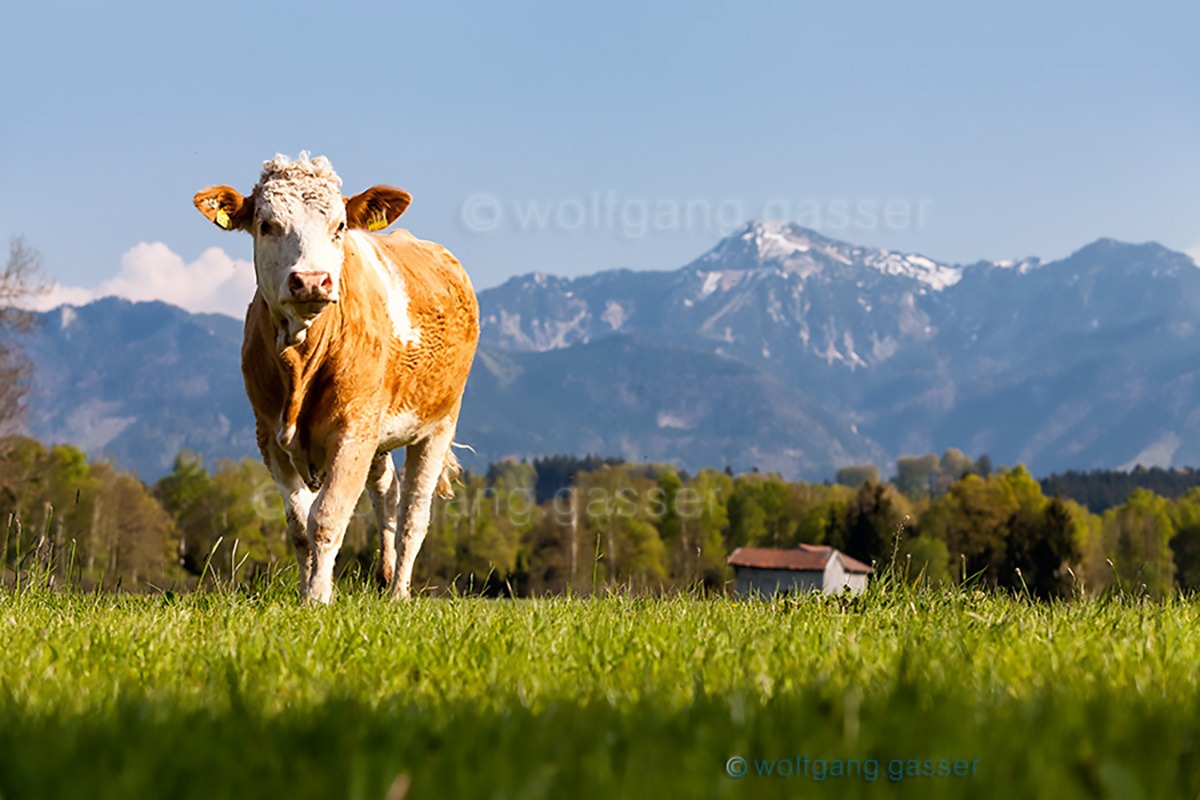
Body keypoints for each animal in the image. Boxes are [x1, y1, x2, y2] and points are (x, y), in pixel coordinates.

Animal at [192, 153, 477, 604]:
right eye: (266, 224)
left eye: (339, 226)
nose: (310, 280)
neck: (301, 363)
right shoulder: (269, 435)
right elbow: (298, 525)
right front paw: (306, 590)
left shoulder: (353, 430)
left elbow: (327, 518)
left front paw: (318, 598)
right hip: (380, 433)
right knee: (386, 493)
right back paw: (384, 575)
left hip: (439, 423)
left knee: (414, 516)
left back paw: (399, 593)